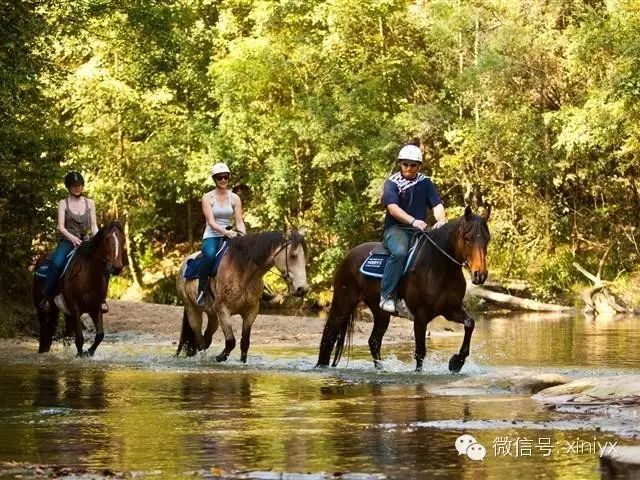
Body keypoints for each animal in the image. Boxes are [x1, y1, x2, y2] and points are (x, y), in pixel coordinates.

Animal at [32, 221, 126, 356]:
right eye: (107, 239)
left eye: (123, 239)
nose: (117, 267)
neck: (89, 275)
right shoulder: (75, 307)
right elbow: (80, 339)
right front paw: (81, 355)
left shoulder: (95, 307)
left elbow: (100, 335)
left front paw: (89, 352)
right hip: (41, 308)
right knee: (44, 330)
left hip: (61, 311)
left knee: (64, 335)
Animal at [176, 231, 308, 362]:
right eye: (293, 256)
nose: (302, 289)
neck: (243, 272)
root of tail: (184, 263)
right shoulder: (223, 310)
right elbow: (230, 341)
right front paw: (220, 357)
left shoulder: (251, 311)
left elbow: (245, 343)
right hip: (192, 310)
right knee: (199, 339)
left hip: (212, 315)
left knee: (206, 338)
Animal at [316, 204, 490, 374]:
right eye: (467, 238)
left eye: (487, 239)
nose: (480, 275)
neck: (439, 267)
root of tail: (348, 255)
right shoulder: (421, 316)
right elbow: (420, 352)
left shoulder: (450, 309)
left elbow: (470, 323)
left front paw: (456, 362)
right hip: (343, 303)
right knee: (329, 336)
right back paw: (321, 367)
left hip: (380, 313)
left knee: (374, 341)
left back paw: (381, 370)